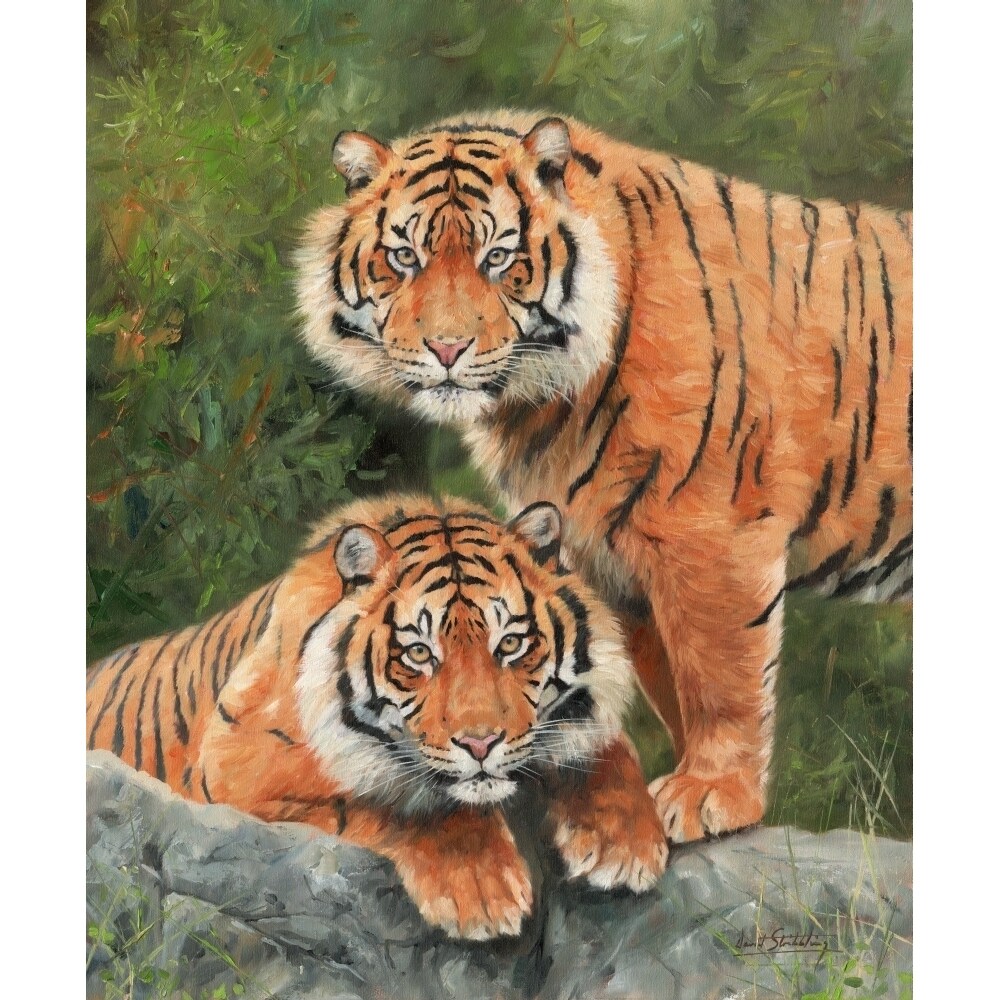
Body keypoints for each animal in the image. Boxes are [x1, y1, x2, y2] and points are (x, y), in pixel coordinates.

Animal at [86, 494, 667, 940]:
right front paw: (481, 893)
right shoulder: (237, 767)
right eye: (419, 653)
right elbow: (396, 801)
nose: (480, 744)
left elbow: (606, 747)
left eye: (510, 644)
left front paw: (624, 845)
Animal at [295, 109, 912, 846]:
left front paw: (712, 794)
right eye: (404, 258)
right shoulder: (612, 557)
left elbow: (721, 680)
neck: (542, 400)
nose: (447, 349)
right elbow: (671, 683)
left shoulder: (713, 540)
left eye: (497, 258)